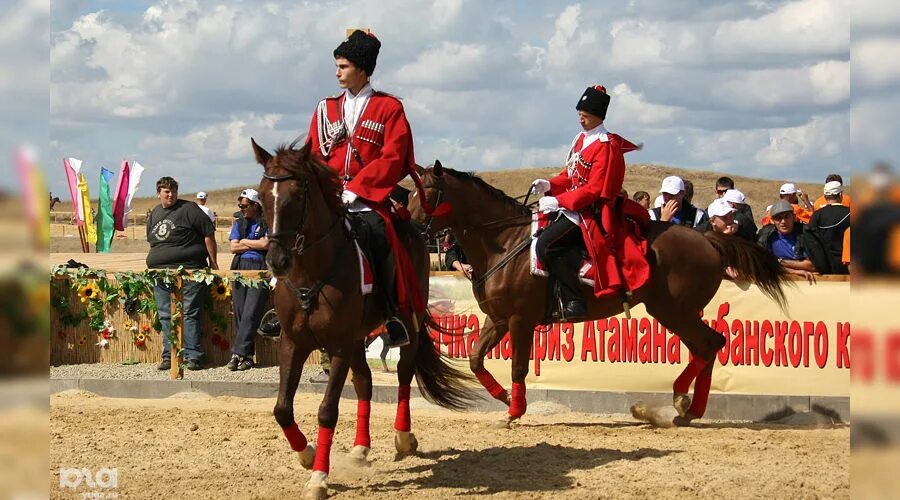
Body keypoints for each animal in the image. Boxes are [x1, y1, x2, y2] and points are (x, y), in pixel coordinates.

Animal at [251, 141, 472, 500]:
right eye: (262, 194)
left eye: (296, 194)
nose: (276, 260)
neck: (311, 273)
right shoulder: (292, 343)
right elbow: (282, 409)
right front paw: (307, 454)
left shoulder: (338, 346)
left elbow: (327, 410)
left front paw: (319, 477)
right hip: (357, 339)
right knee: (364, 382)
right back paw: (360, 448)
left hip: (405, 325)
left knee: (403, 374)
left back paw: (403, 437)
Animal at [406, 163, 788, 426]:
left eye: (425, 195)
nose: (409, 227)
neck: (504, 242)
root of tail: (708, 238)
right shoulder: (497, 319)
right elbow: (475, 359)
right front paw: (503, 399)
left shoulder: (519, 320)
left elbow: (518, 366)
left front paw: (515, 411)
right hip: (679, 311)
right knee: (705, 348)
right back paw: (686, 408)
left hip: (672, 310)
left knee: (709, 344)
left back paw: (681, 403)